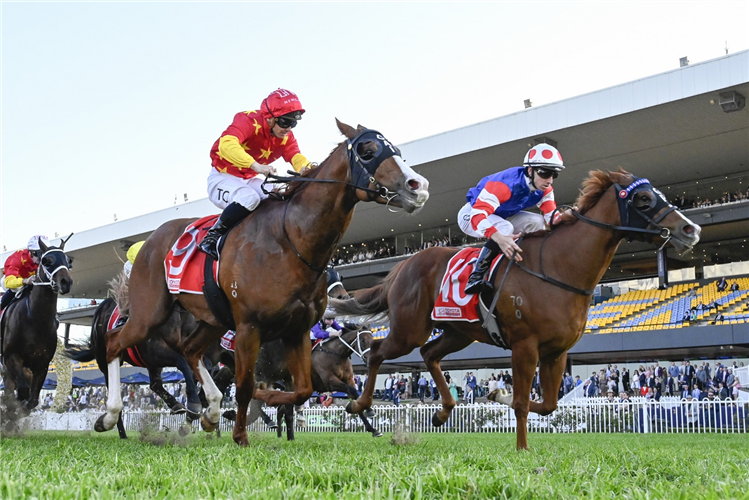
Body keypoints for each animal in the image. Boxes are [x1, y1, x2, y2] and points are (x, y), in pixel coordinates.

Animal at [0, 236, 73, 412]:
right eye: (47, 260)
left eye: (68, 260)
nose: (65, 282)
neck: (36, 321)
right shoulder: (12, 358)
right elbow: (22, 392)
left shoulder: (42, 365)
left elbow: (32, 400)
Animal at [96, 120, 430, 446]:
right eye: (368, 150)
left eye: (398, 151)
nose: (419, 187)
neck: (290, 241)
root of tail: (149, 240)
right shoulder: (249, 327)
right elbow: (247, 387)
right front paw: (241, 434)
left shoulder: (297, 330)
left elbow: (300, 391)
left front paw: (261, 410)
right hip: (150, 312)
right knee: (115, 343)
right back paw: (111, 415)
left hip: (212, 320)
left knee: (190, 351)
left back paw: (210, 411)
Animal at [330, 170, 700, 452]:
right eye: (643, 199)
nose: (690, 229)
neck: (560, 267)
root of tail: (402, 266)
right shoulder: (525, 345)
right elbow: (523, 402)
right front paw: (522, 449)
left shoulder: (557, 351)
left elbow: (549, 405)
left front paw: (497, 392)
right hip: (409, 329)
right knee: (379, 351)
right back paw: (359, 403)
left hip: (458, 332)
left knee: (429, 353)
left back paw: (443, 412)